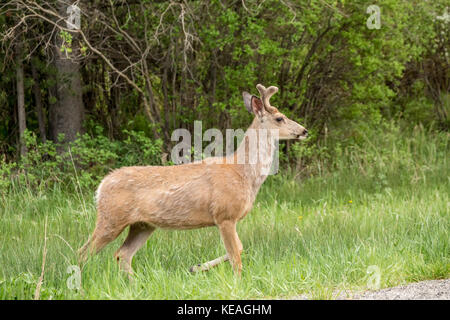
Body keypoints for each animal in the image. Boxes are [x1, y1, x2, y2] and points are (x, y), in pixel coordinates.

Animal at [79, 84, 308, 276]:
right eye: (280, 118)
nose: (304, 131)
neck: (244, 173)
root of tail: (101, 186)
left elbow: (240, 249)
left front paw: (196, 267)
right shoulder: (224, 215)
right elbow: (236, 255)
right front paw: (237, 281)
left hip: (142, 225)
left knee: (122, 254)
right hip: (111, 218)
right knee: (83, 252)